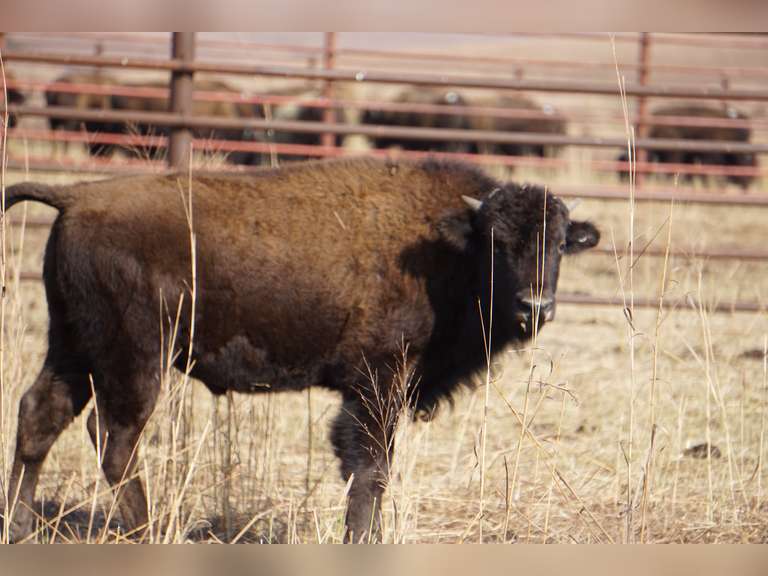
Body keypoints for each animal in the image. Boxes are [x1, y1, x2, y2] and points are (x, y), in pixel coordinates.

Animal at [3, 157, 599, 542]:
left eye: (558, 243)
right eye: (498, 243)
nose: (534, 307)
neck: (445, 244)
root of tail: (77, 195)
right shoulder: (379, 382)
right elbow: (371, 469)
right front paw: (361, 541)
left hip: (72, 346)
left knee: (39, 416)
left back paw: (20, 529)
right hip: (134, 358)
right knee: (113, 438)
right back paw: (147, 533)